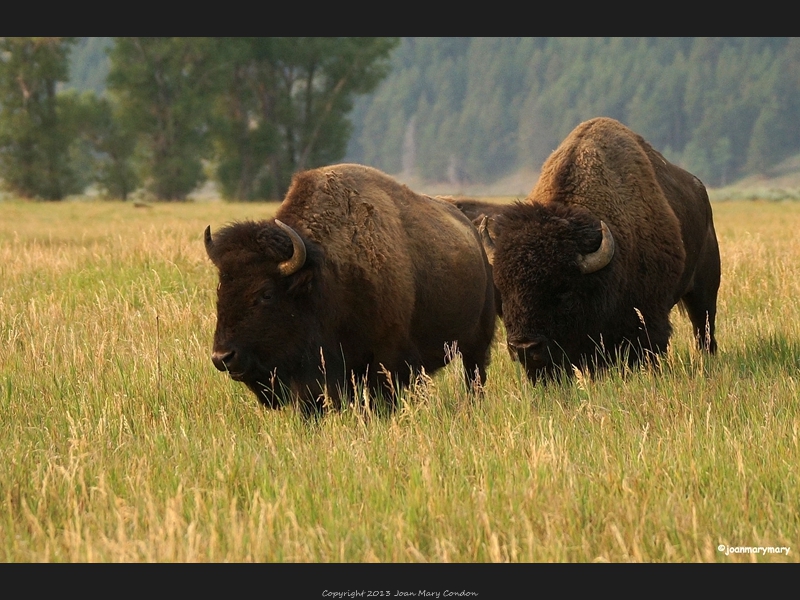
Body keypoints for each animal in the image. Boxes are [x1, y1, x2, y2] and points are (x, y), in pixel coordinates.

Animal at [205, 165, 494, 418]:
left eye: (266, 294)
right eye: (221, 287)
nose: (222, 357)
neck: (324, 275)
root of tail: (474, 236)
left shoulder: (383, 362)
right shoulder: (314, 376)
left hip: (477, 343)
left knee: (474, 377)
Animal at [478, 116, 720, 380]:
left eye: (564, 291)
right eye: (504, 288)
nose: (525, 347)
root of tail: (700, 190)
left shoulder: (648, 319)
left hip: (705, 289)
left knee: (704, 327)